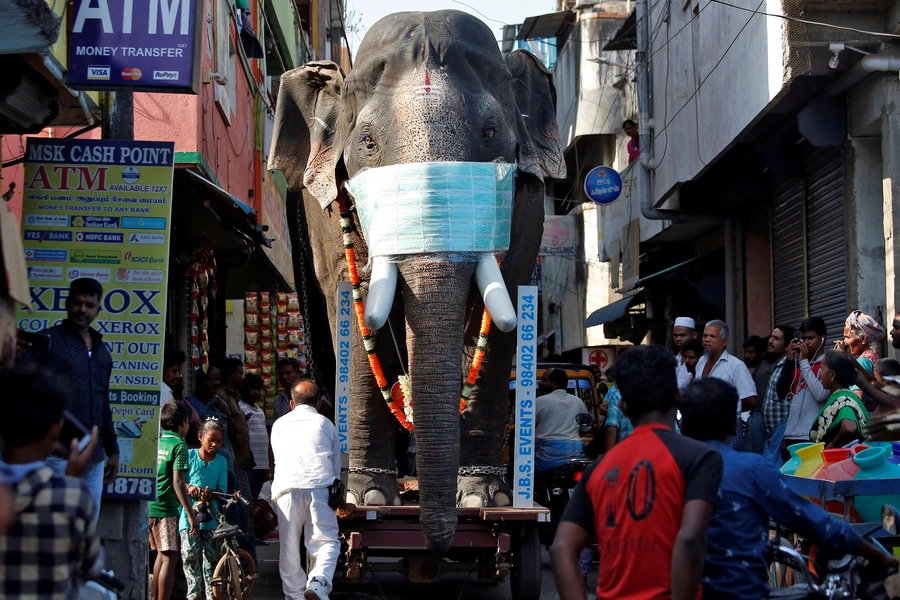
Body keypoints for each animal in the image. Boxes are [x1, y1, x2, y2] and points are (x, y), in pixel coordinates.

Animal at [266, 9, 564, 556]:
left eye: (491, 132)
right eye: (367, 142)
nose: (439, 547)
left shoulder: (528, 209)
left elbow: (501, 307)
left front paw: (483, 498)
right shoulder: (331, 221)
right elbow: (357, 307)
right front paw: (366, 497)